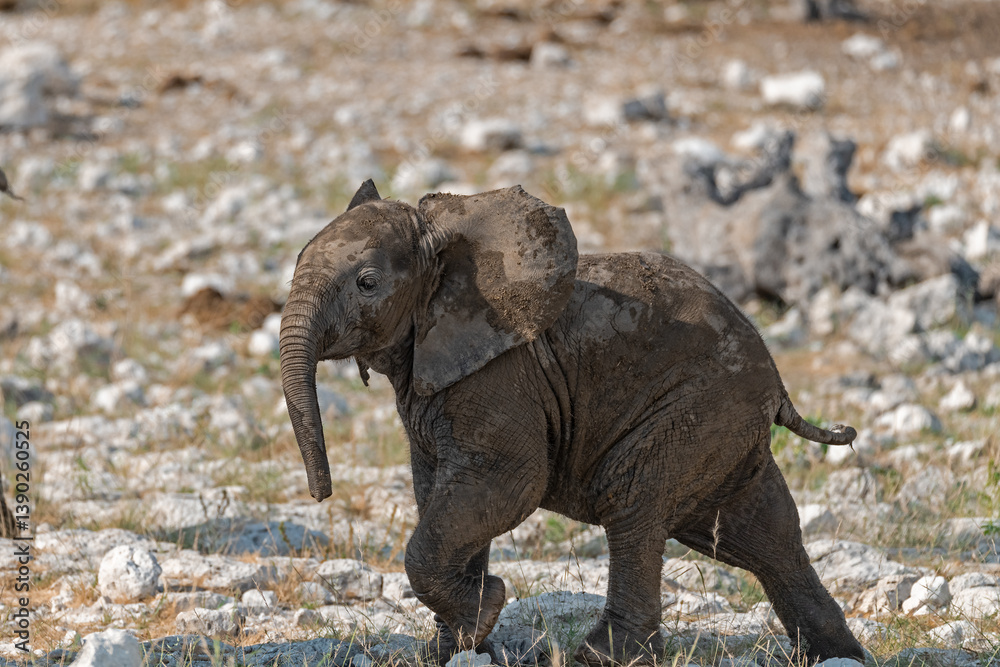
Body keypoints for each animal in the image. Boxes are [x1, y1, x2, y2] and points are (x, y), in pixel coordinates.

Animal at [279, 180, 865, 666]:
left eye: (368, 282)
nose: (320, 494)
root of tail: (777, 381)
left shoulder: (500, 375)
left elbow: (505, 485)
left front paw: (487, 609)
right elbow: (442, 496)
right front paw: (453, 650)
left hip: (697, 411)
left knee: (633, 503)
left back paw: (604, 658)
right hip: (725, 426)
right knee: (763, 534)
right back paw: (839, 656)